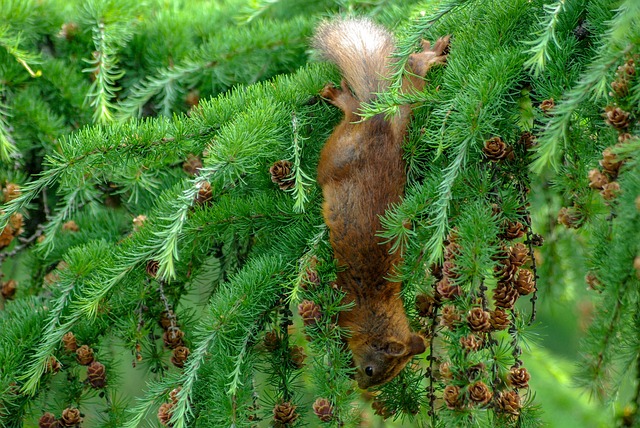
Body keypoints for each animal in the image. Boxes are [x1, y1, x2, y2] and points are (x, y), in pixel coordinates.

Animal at [312, 18, 448, 390]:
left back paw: (429, 54)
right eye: (373, 370)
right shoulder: (348, 310)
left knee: (412, 73)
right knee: (355, 112)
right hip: (335, 154)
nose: (361, 386)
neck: (377, 309)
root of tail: (381, 126)